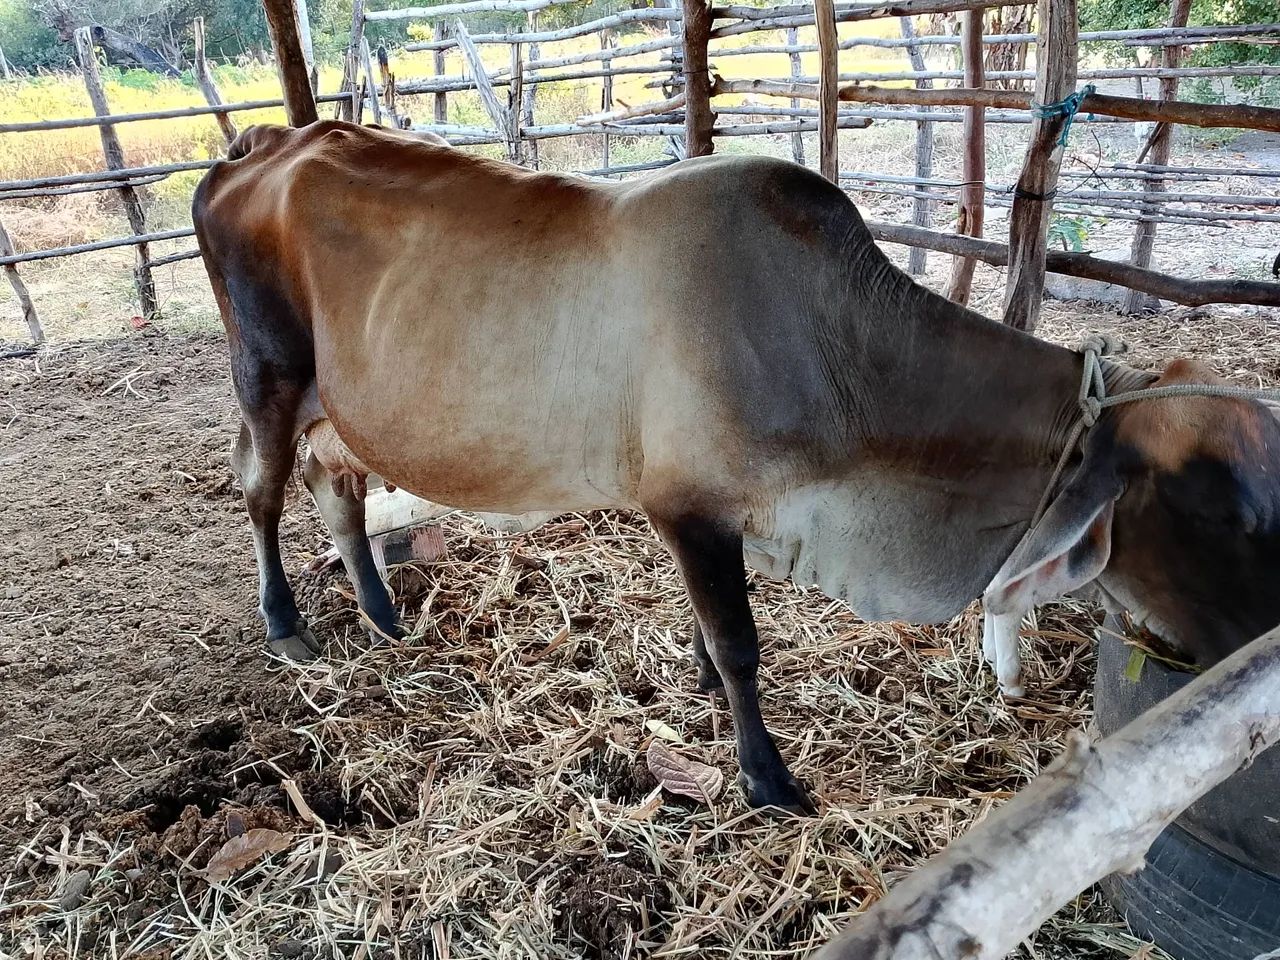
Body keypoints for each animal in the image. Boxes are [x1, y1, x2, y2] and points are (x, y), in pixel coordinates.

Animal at [194, 121, 1280, 814]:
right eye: (1226, 513)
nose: (1260, 665)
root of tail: (264, 144)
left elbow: (712, 639)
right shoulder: (688, 508)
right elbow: (740, 645)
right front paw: (766, 778)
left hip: (341, 409)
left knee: (336, 491)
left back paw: (381, 614)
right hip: (268, 377)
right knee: (258, 488)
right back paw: (287, 623)